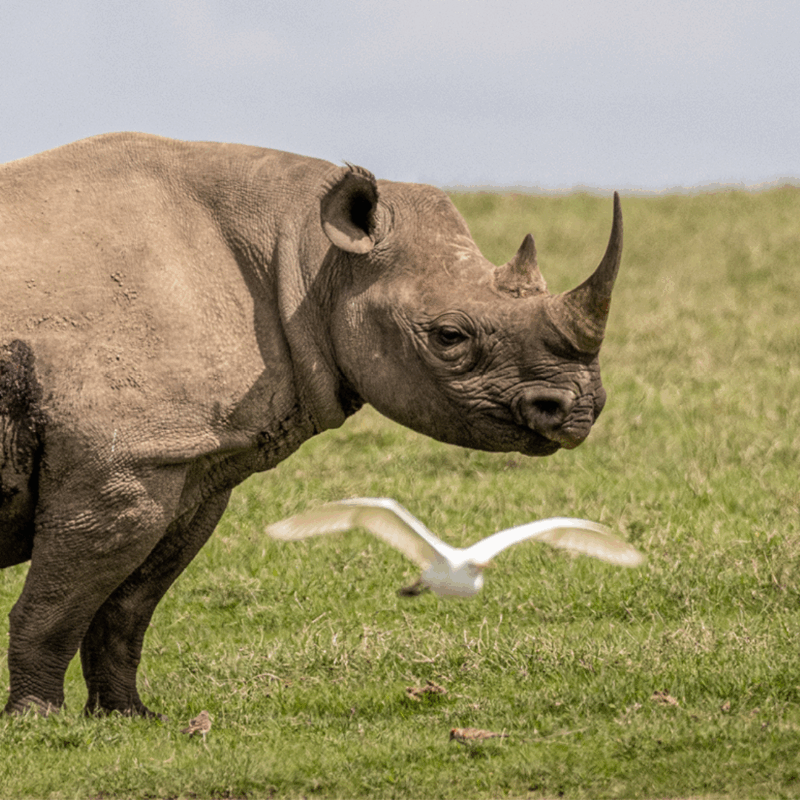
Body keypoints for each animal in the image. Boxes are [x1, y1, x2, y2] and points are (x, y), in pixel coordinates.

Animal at [0, 133, 622, 717]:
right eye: (449, 336)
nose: (579, 409)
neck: (305, 254)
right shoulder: (121, 460)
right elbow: (57, 606)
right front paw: (37, 718)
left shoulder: (185, 459)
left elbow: (128, 607)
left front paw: (128, 716)